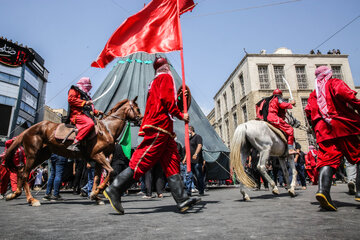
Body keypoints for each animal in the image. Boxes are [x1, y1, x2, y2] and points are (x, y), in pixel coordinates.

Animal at [4, 97, 143, 206]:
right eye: (137, 109)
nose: (141, 120)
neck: (107, 129)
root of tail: (29, 129)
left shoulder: (99, 158)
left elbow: (97, 178)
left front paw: (95, 195)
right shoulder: (97, 155)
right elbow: (111, 172)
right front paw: (98, 191)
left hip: (41, 155)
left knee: (22, 172)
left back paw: (14, 194)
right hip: (32, 154)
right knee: (25, 174)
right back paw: (31, 200)